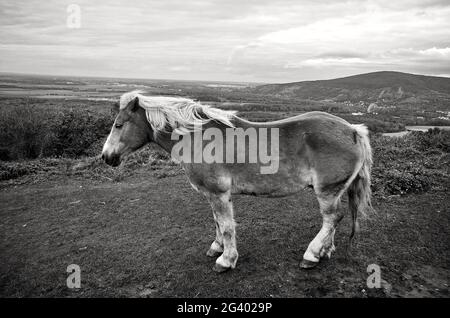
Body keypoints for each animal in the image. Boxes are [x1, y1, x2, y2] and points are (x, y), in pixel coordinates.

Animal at [103, 90, 372, 274]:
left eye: (119, 124)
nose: (106, 157)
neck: (200, 138)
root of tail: (353, 130)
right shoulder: (215, 194)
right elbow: (217, 222)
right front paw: (217, 247)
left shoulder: (218, 193)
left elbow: (226, 226)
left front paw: (226, 260)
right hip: (335, 191)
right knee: (334, 220)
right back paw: (325, 250)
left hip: (327, 190)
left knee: (332, 218)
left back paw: (312, 254)